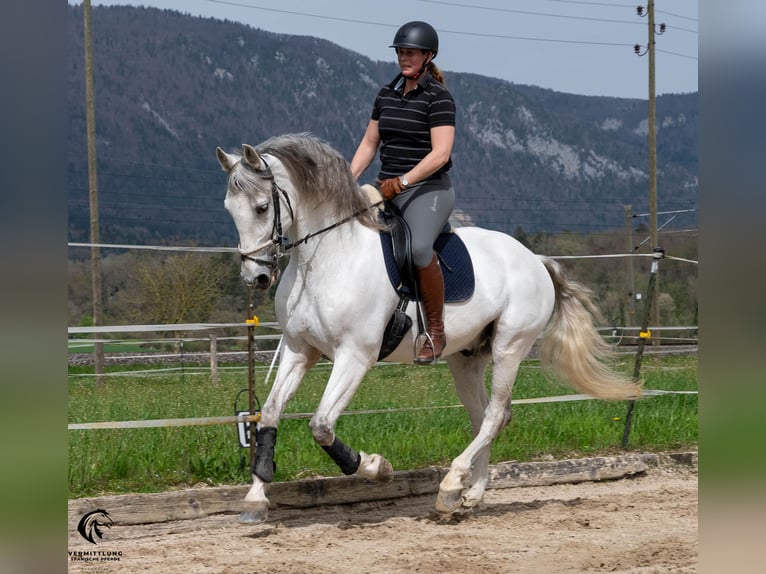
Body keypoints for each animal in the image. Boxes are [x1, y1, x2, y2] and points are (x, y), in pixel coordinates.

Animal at [216, 133, 640, 524]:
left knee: (494, 415)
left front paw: (377, 468)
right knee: (485, 416)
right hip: (466, 359)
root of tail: (534, 259)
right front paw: (255, 499)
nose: (256, 277)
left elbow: (321, 425)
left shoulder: (355, 356)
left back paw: (451, 485)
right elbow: (269, 413)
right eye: (229, 210)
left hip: (510, 347)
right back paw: (470, 495)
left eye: (262, 207)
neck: (325, 258)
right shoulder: (299, 349)